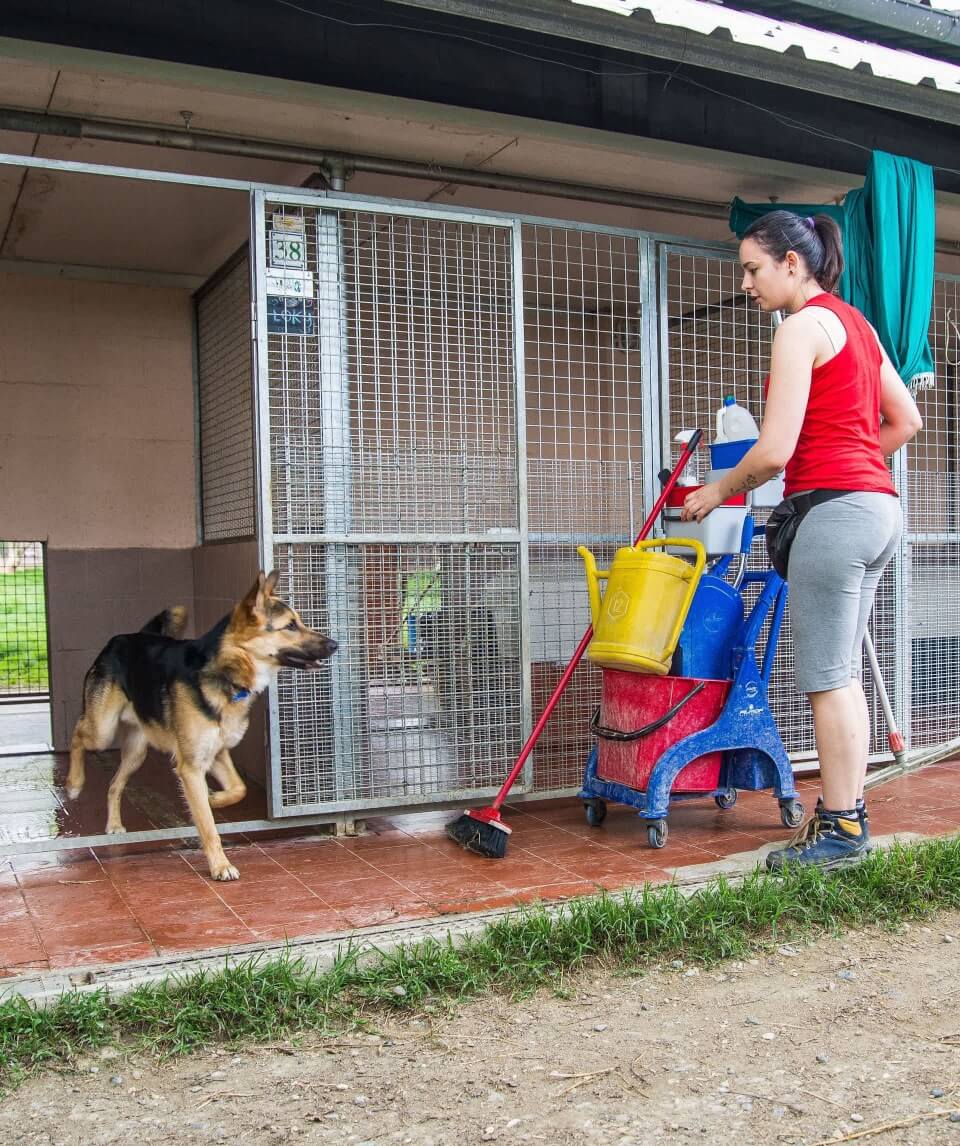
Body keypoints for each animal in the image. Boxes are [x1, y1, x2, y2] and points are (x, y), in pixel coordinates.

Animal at [66, 570, 339, 875]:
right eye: (290, 625)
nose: (335, 644)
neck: (227, 673)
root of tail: (123, 638)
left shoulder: (216, 753)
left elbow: (239, 789)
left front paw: (213, 797)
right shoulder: (191, 768)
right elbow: (208, 826)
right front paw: (220, 866)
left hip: (137, 752)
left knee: (115, 784)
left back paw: (113, 823)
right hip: (102, 730)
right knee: (77, 734)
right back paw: (73, 784)